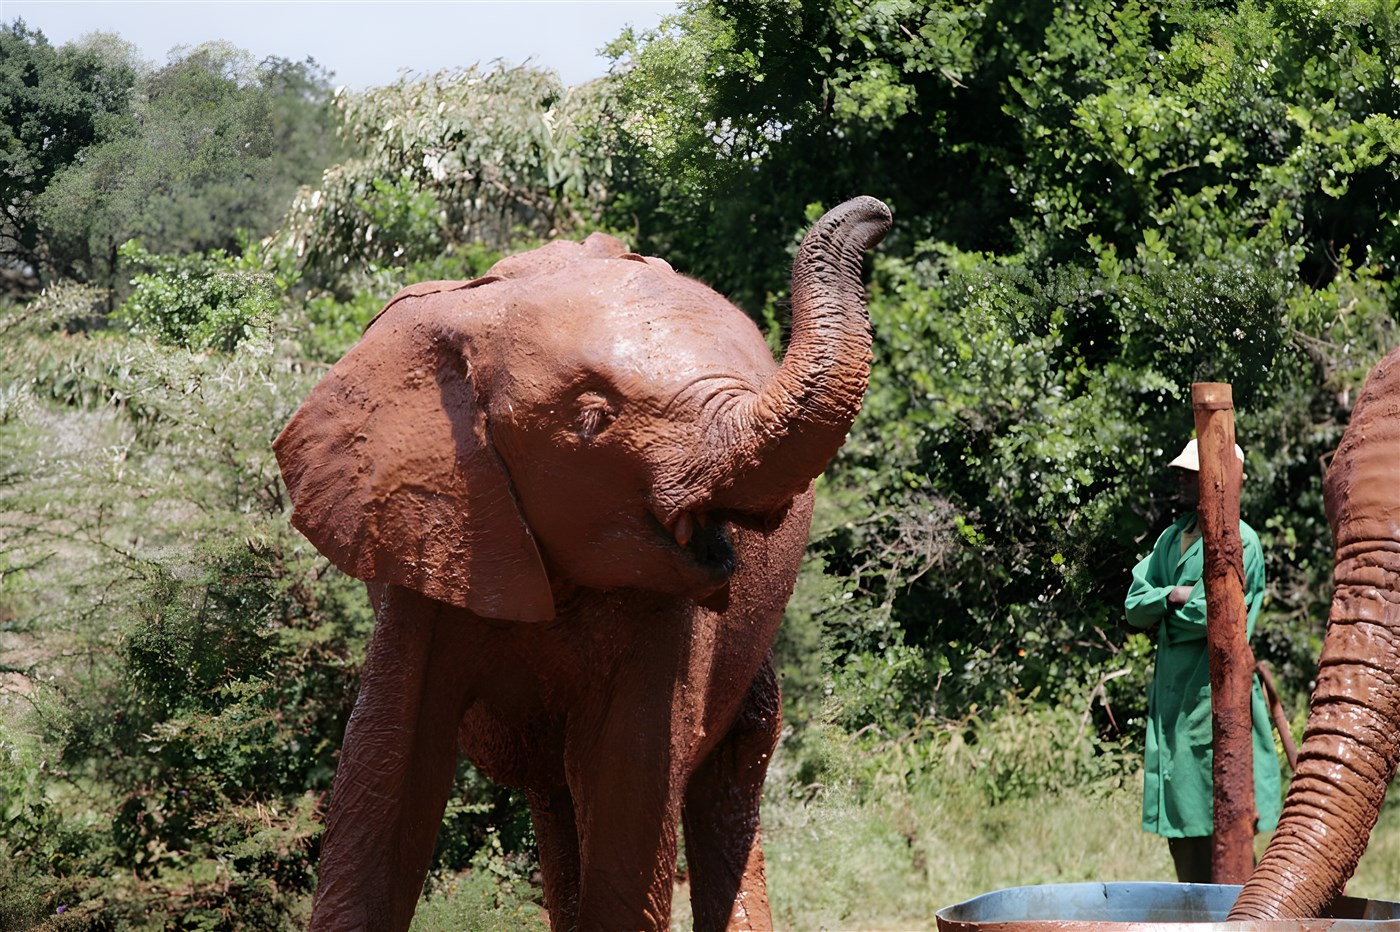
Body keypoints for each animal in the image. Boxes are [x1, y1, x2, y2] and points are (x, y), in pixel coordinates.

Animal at [273, 196, 892, 931]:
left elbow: (632, 777)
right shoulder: (436, 536)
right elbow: (385, 767)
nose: (878, 213)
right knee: (556, 787)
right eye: (592, 418)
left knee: (731, 762)